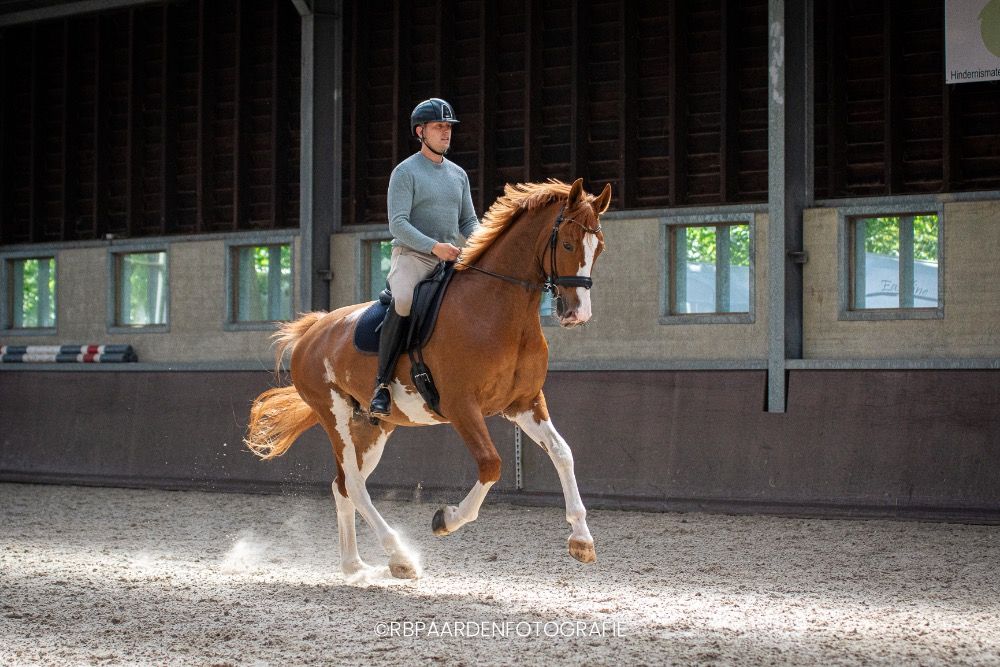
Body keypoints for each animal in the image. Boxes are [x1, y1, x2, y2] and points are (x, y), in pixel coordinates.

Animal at [244, 177, 612, 579]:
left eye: (598, 248)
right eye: (567, 244)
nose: (578, 314)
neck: (496, 309)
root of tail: (312, 330)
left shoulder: (524, 403)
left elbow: (563, 453)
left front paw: (581, 540)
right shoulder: (462, 406)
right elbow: (491, 464)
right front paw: (446, 520)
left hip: (372, 427)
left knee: (342, 485)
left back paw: (355, 565)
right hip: (335, 416)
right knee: (354, 485)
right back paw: (399, 557)